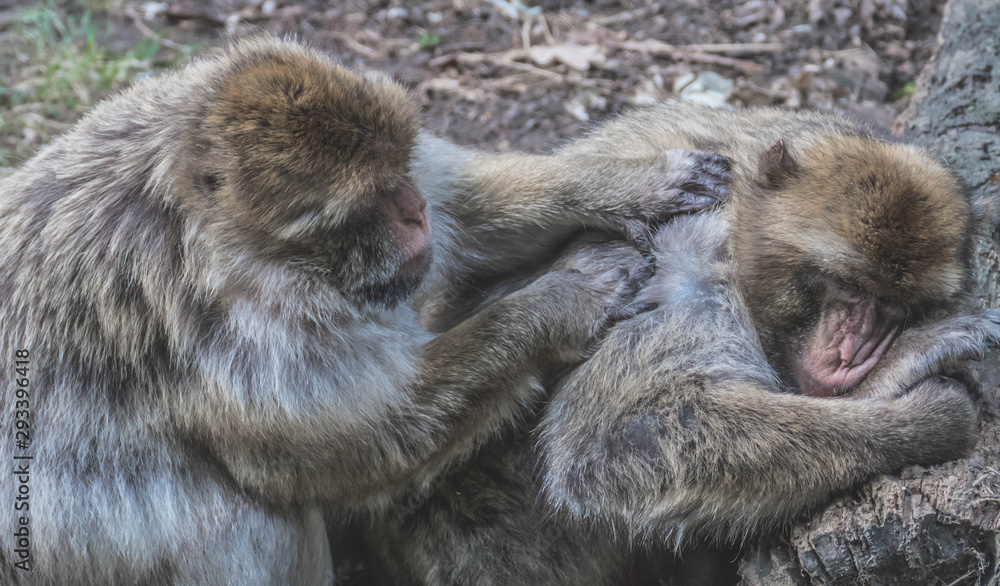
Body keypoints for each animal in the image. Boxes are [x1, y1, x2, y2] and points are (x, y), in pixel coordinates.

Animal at [0, 37, 732, 584]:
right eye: (368, 204)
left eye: (398, 176)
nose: (412, 210)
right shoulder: (238, 338)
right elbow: (355, 445)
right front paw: (562, 303)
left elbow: (464, 217)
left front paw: (628, 185)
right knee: (243, 518)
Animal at [349, 102, 1000, 585]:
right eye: (848, 286)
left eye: (898, 306)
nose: (853, 353)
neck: (739, 218)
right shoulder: (680, 258)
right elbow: (613, 441)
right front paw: (916, 396)